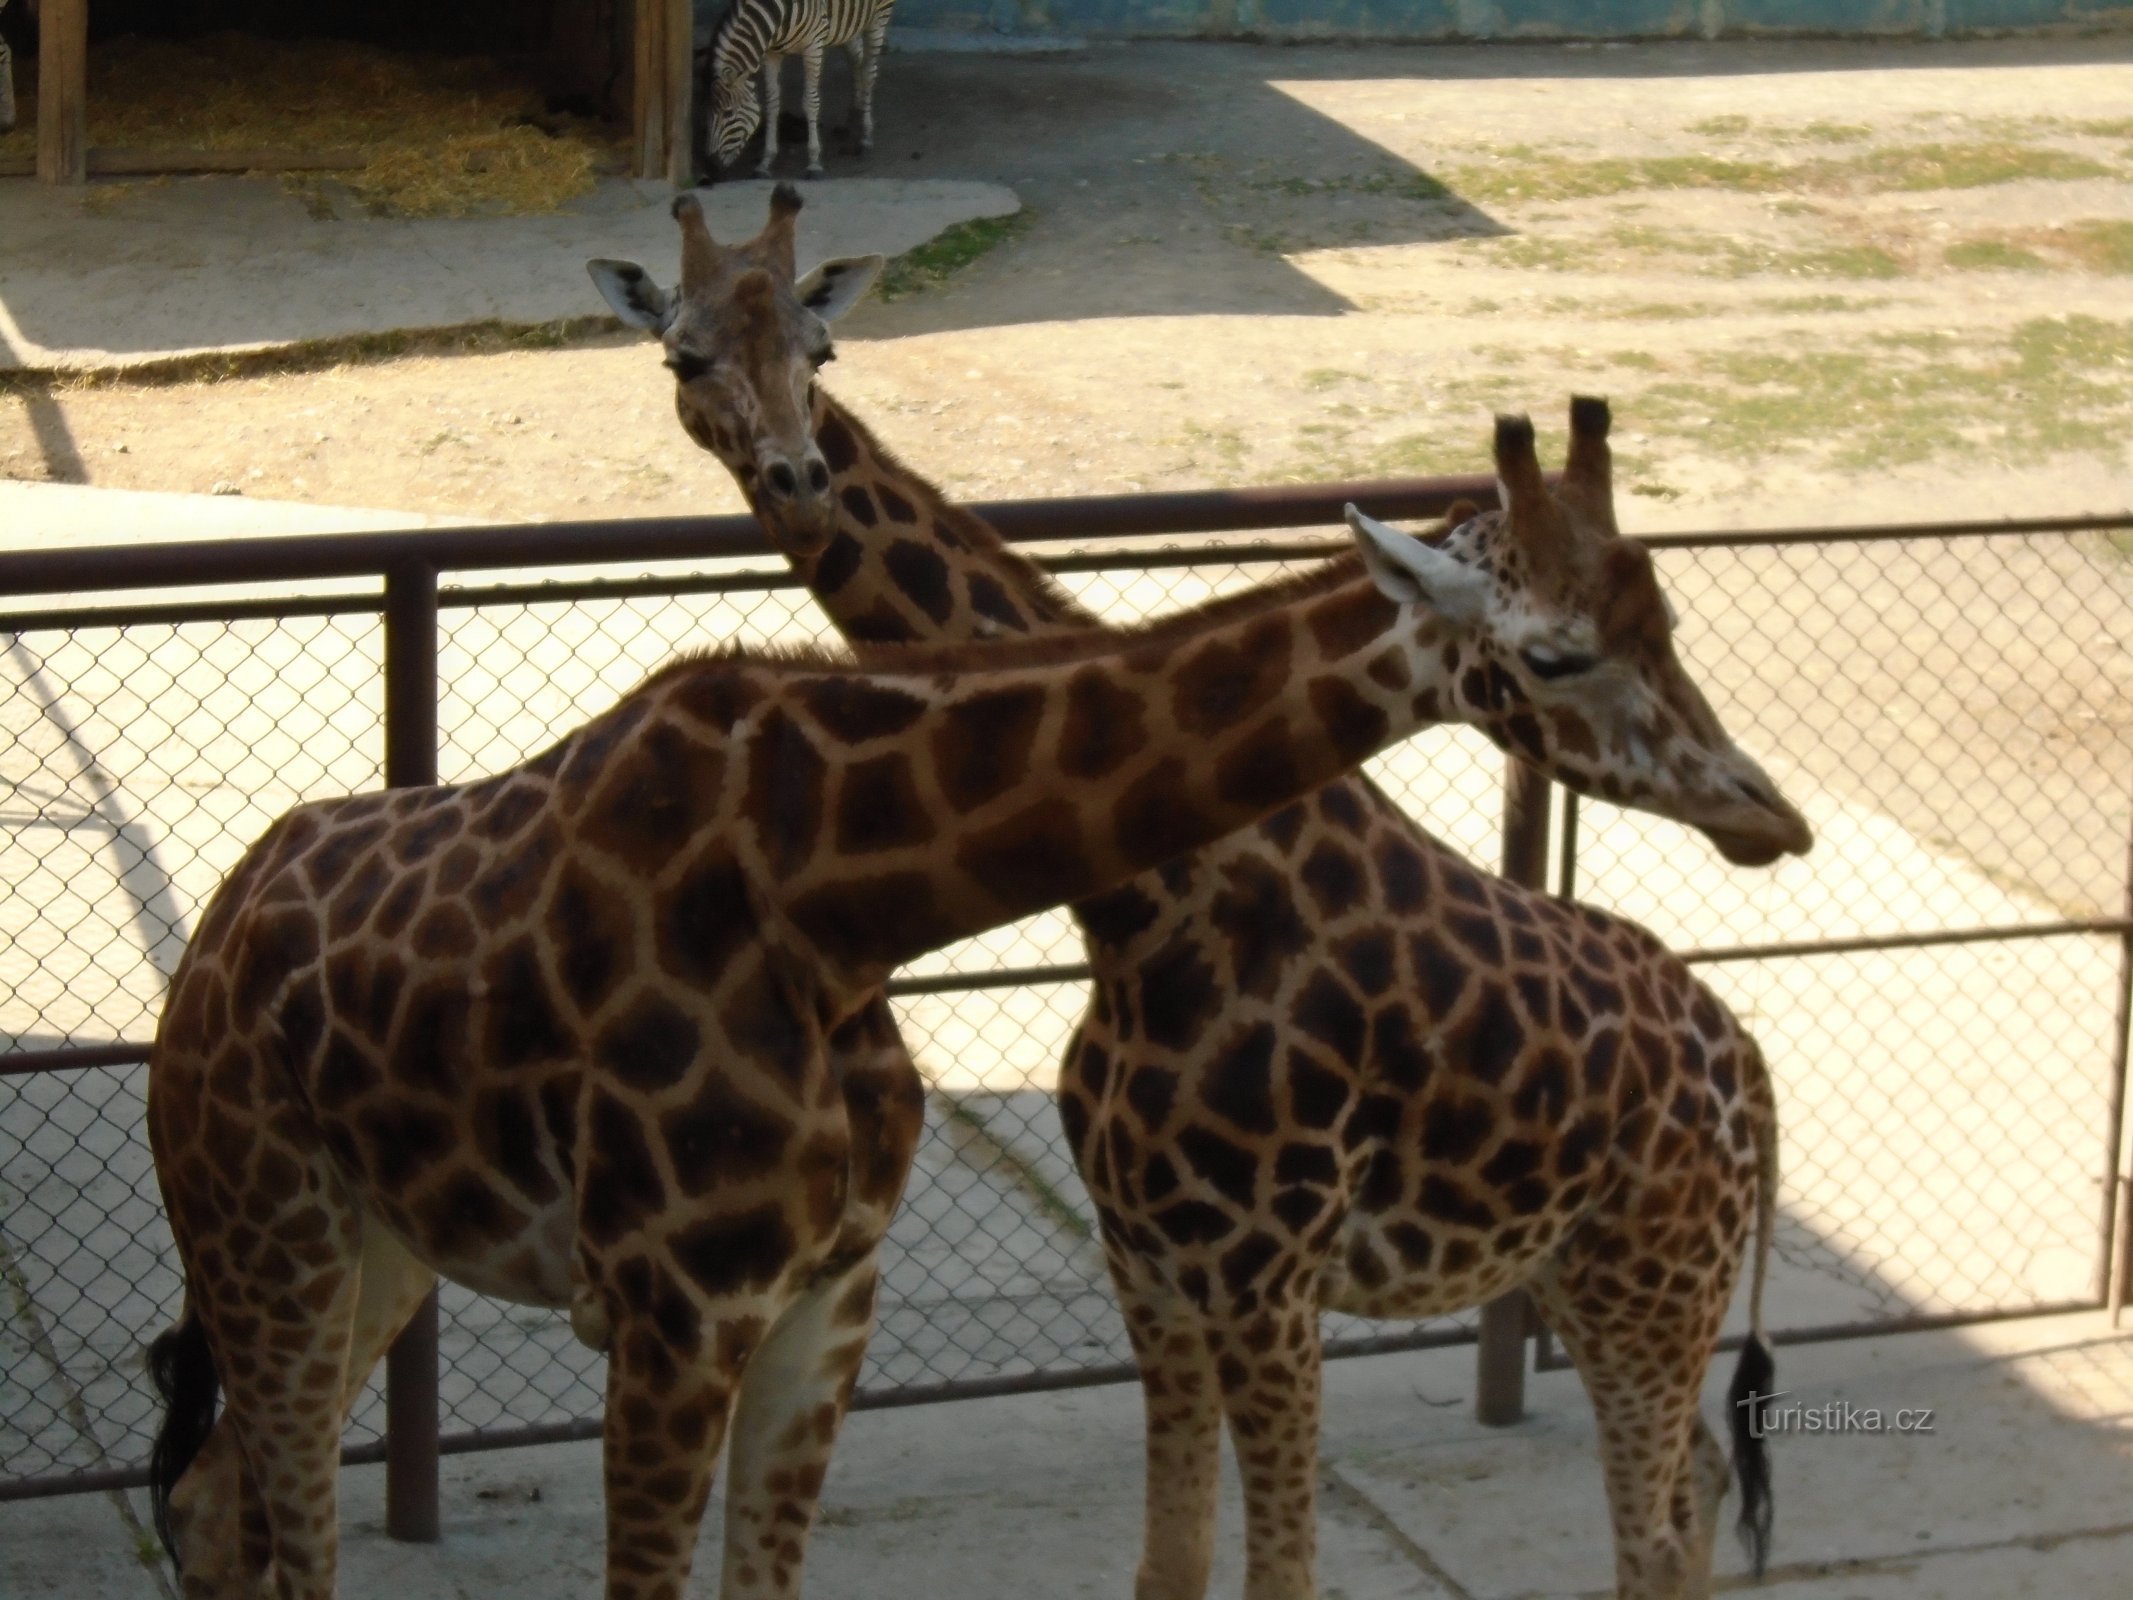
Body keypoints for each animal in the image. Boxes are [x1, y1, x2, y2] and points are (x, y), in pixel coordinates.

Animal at [141, 322, 1783, 1600]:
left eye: (1666, 616)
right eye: (1561, 653)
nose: (1769, 811)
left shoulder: (869, 1294)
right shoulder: (705, 1312)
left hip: (1634, 1283)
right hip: (281, 1222)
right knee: (252, 1509)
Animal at [588, 181, 1817, 1595]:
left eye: (822, 348)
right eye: (686, 358)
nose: (798, 477)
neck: (1152, 908)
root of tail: (1755, 1082)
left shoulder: (1268, 1281)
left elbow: (1281, 1570)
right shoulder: (1152, 1262)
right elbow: (1167, 1563)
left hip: (1649, 1287)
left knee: (1657, 1527)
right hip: (1597, 1277)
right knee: (1702, 1482)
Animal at [695, 0, 895, 180]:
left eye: (728, 113)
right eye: (706, 112)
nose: (710, 167)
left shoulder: (813, 45)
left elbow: (811, 101)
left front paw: (814, 163)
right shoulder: (771, 53)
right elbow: (772, 103)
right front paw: (765, 162)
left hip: (878, 17)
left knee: (869, 71)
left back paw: (866, 135)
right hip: (848, 25)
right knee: (857, 60)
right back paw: (854, 113)